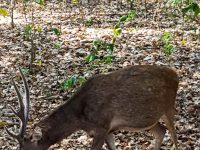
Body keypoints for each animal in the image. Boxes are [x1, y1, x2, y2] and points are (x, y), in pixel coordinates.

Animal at [5, 65, 179, 150]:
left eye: (24, 149)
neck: (81, 118)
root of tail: (176, 74)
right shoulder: (109, 130)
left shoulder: (102, 126)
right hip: (148, 119)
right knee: (161, 131)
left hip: (169, 106)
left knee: (173, 135)